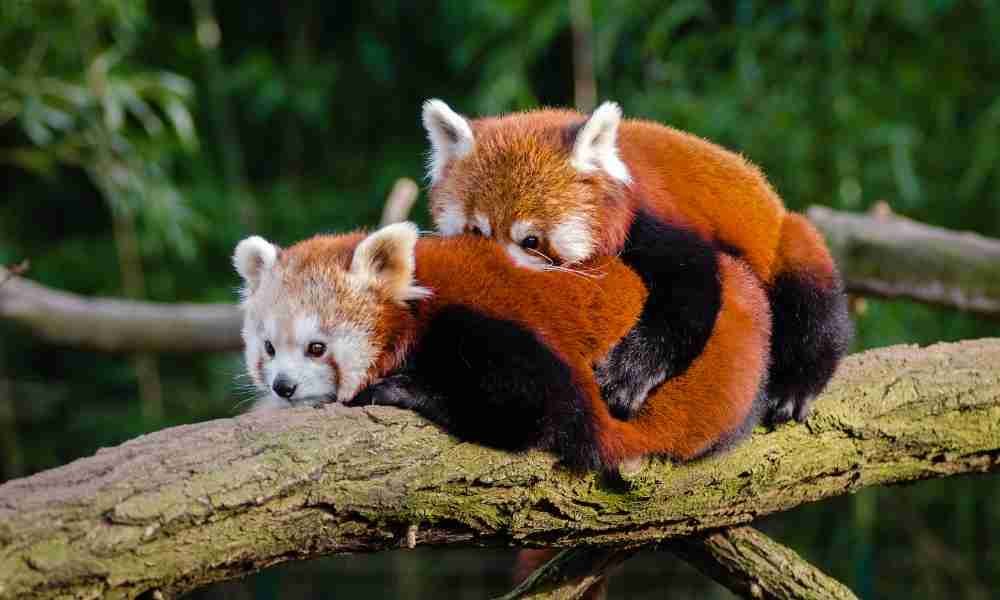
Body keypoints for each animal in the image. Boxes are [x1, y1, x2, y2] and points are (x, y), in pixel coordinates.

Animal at [230, 223, 768, 472]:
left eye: (317, 347)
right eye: (269, 348)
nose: (283, 387)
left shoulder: (482, 327)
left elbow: (532, 411)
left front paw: (400, 390)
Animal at [422, 99, 852, 426]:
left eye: (530, 241)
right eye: (476, 232)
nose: (496, 274)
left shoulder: (652, 221)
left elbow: (689, 294)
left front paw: (629, 375)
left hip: (788, 241)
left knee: (811, 298)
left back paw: (796, 386)